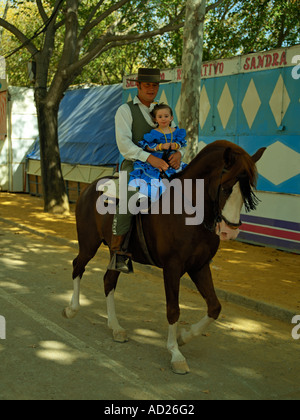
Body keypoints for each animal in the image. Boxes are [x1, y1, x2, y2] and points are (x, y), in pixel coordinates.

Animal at [62, 140, 264, 374]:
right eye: (225, 187)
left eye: (248, 191)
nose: (229, 232)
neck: (189, 212)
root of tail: (88, 188)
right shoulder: (172, 267)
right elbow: (173, 309)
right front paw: (175, 354)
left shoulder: (199, 266)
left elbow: (214, 307)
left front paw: (185, 336)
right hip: (88, 245)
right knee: (78, 266)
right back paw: (72, 309)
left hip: (116, 253)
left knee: (108, 281)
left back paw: (116, 327)